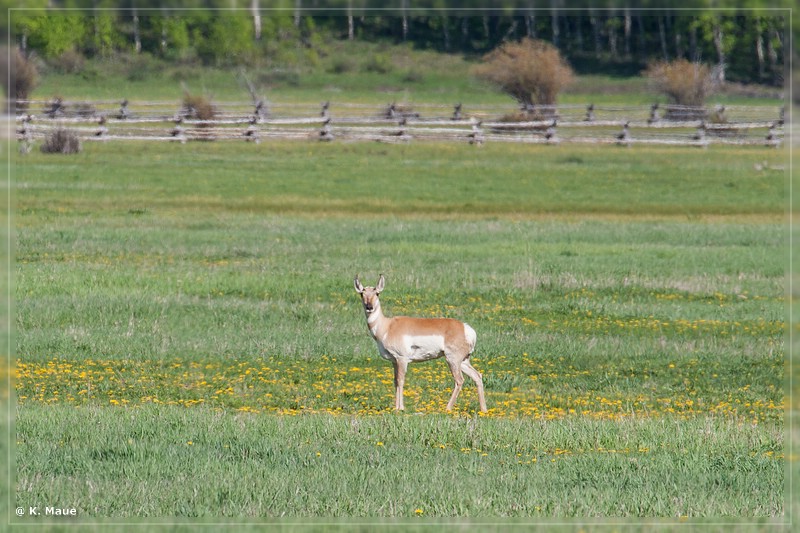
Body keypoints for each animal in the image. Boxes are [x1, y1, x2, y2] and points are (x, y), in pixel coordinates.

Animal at [354, 272, 488, 414]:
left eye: (377, 293)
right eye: (362, 293)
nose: (369, 307)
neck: (387, 326)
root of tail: (465, 328)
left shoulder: (402, 359)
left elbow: (401, 380)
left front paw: (400, 408)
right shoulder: (394, 361)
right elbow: (395, 381)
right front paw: (396, 407)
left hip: (453, 360)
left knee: (459, 380)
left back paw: (447, 408)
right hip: (463, 361)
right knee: (477, 376)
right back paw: (483, 410)